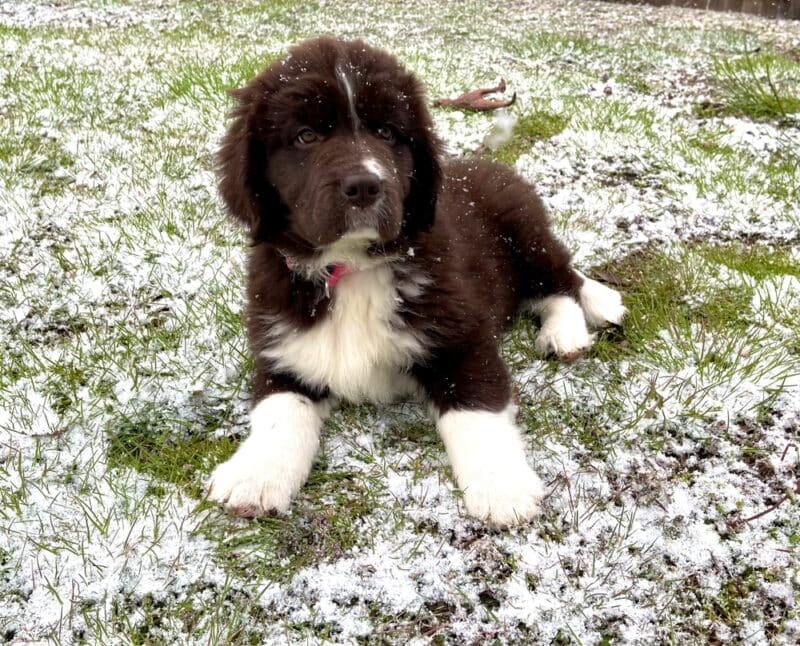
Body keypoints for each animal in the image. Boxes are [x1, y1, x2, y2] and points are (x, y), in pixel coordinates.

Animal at [206, 36, 624, 528]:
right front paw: (254, 476)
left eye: (388, 133)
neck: (353, 268)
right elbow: (278, 412)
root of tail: (490, 165)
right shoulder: (283, 348)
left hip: (525, 233)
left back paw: (573, 326)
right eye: (306, 136)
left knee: (563, 279)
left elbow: (476, 410)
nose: (365, 186)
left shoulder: (462, 337)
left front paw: (501, 487)